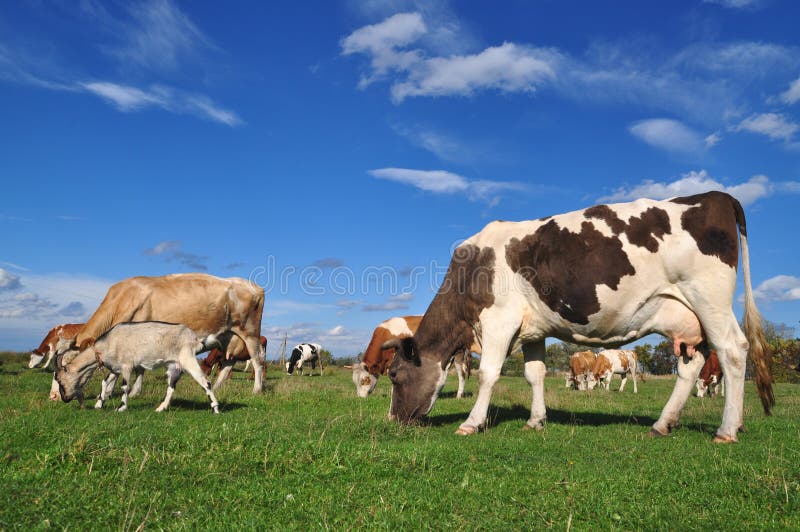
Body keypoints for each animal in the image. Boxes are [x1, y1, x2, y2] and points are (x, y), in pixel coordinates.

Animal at [54, 322, 220, 414]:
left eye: (59, 380)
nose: (65, 399)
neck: (108, 343)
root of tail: (195, 339)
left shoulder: (127, 366)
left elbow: (124, 387)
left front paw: (121, 408)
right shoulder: (115, 368)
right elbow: (104, 382)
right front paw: (99, 404)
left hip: (188, 360)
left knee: (206, 382)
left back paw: (215, 409)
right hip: (175, 367)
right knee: (171, 387)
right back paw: (160, 408)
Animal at [62, 274, 268, 394]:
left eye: (65, 368)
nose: (57, 396)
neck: (123, 298)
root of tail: (254, 286)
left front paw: (115, 393)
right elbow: (136, 368)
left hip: (250, 332)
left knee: (257, 360)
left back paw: (257, 389)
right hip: (228, 337)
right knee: (227, 362)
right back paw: (216, 386)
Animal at [384, 192, 772, 444]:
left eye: (395, 375)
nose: (393, 419)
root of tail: (714, 195)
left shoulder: (499, 319)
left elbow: (488, 374)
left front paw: (471, 423)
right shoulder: (533, 328)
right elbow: (535, 374)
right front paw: (535, 421)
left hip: (710, 299)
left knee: (733, 350)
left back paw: (726, 430)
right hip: (689, 317)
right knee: (692, 366)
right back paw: (664, 423)